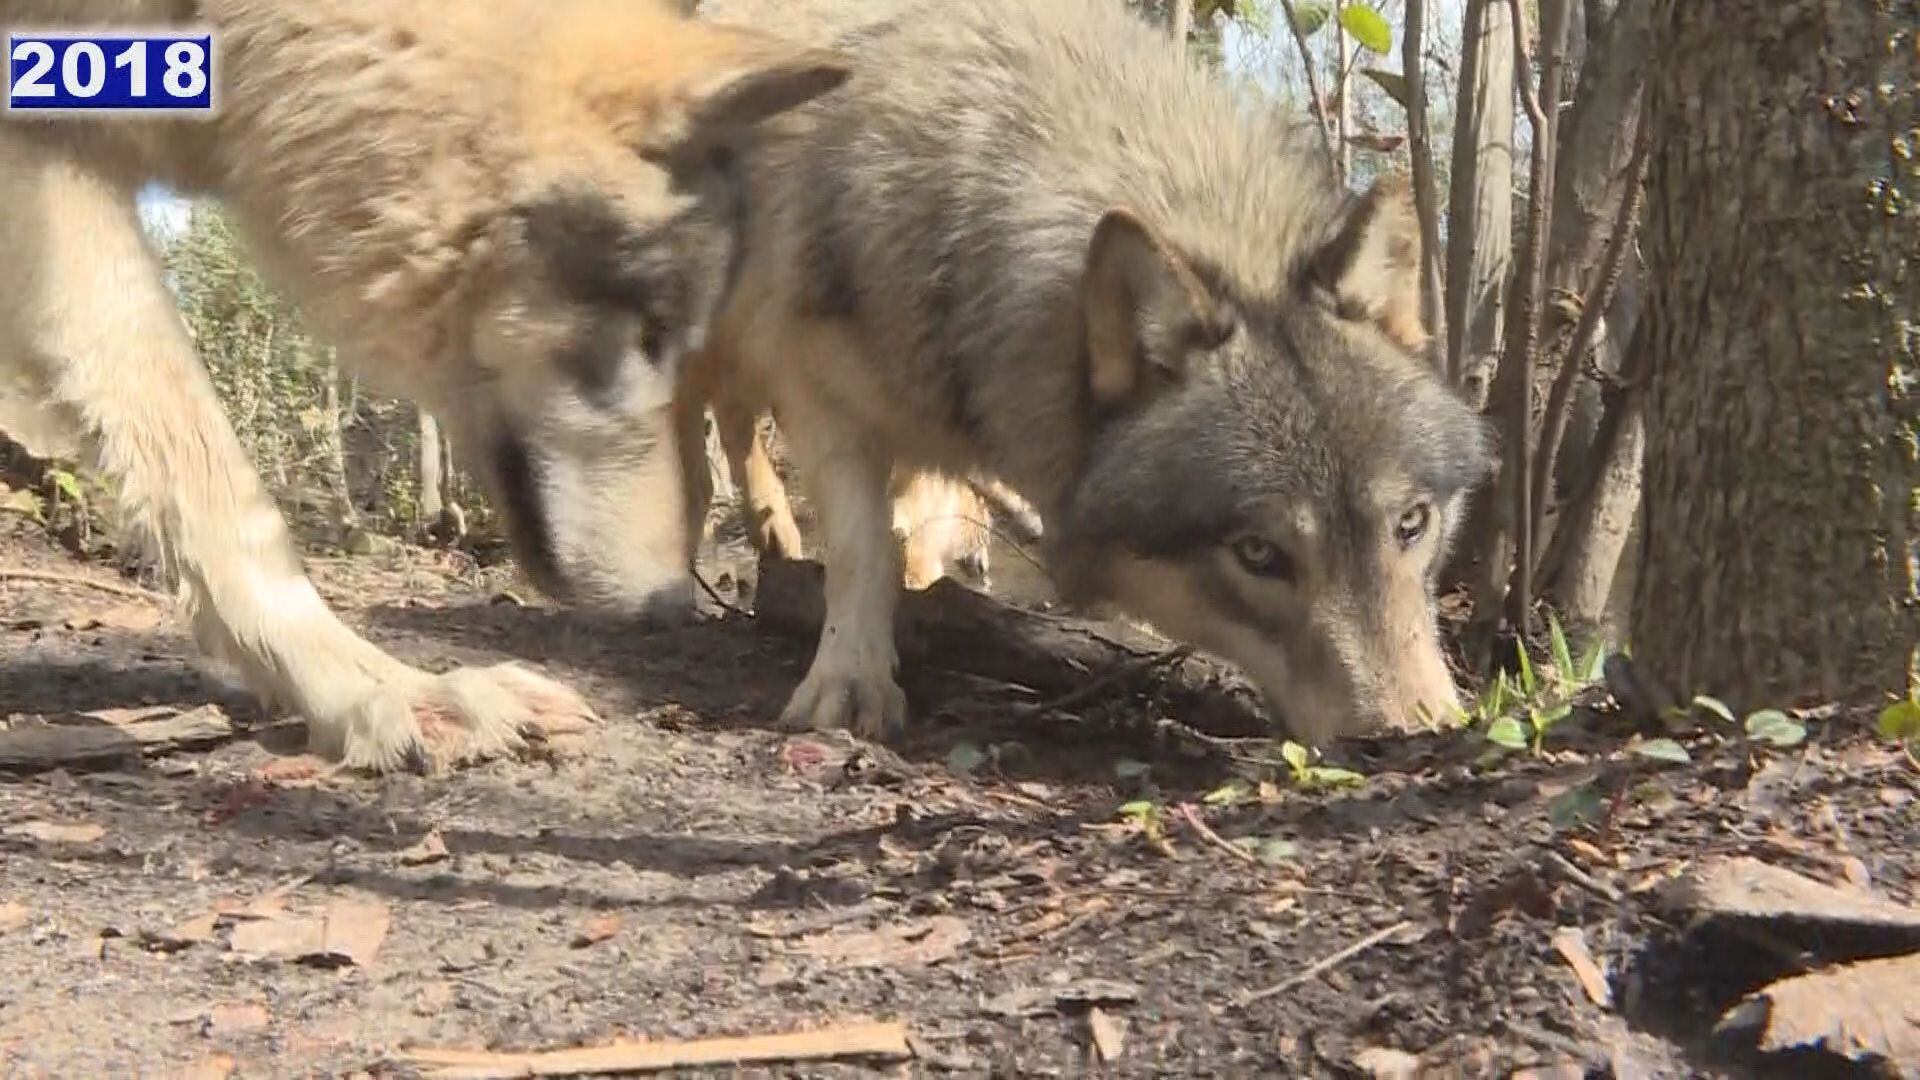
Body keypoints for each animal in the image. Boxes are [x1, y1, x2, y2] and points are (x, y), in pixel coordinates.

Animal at [692, 0, 1495, 745]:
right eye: (1258, 554)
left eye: (1412, 524)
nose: (1410, 738)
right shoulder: (821, 393)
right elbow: (861, 550)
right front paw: (850, 681)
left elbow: (908, 531)